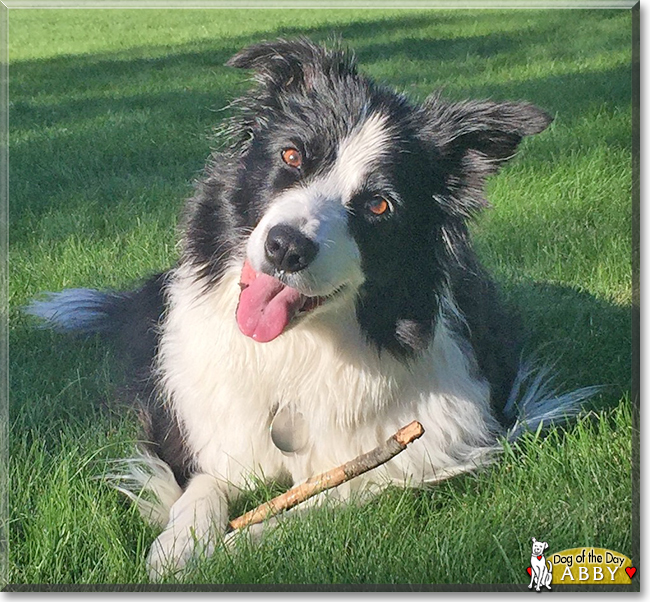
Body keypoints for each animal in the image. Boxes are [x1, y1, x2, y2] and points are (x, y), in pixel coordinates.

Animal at [26, 38, 592, 576]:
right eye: (292, 156)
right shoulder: (195, 432)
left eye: (379, 205)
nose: (285, 248)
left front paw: (235, 545)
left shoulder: (440, 444)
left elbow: (325, 498)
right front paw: (180, 544)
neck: (300, 350)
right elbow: (204, 483)